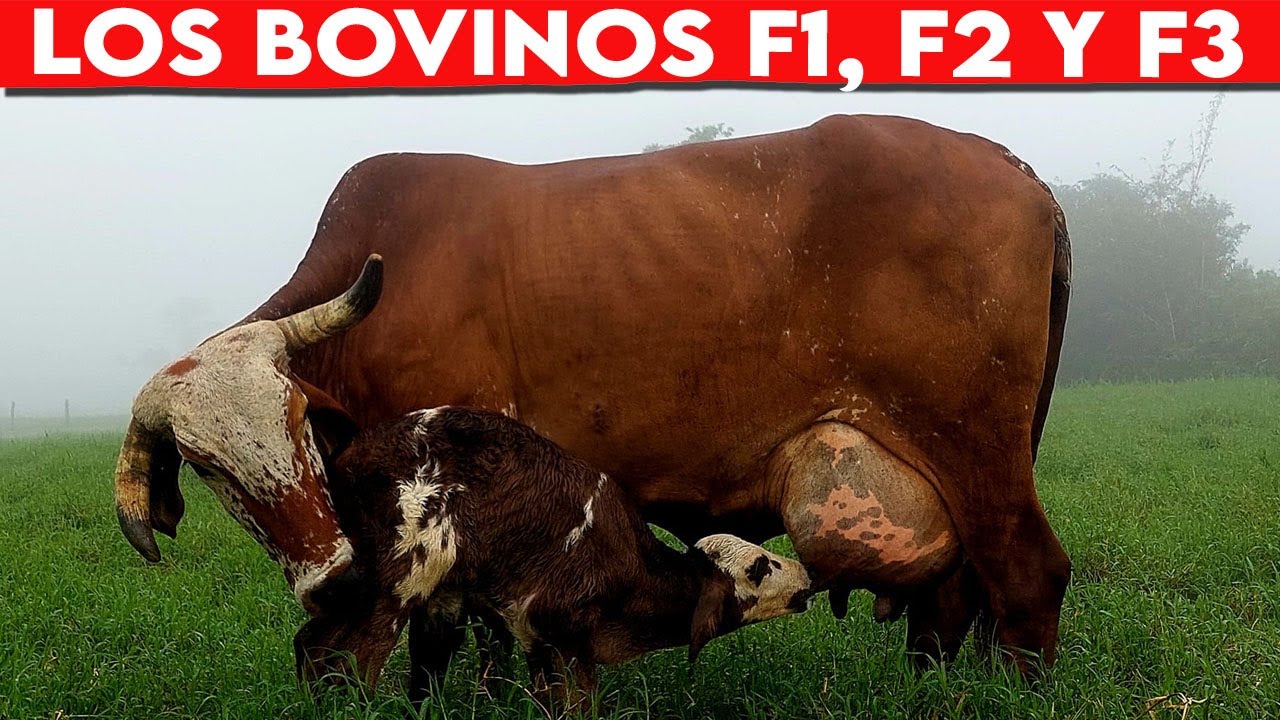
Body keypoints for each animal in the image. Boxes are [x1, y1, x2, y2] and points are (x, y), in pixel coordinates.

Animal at [114, 113, 1072, 674]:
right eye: (208, 468)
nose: (333, 581)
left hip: (974, 444)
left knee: (1027, 576)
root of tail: (1015, 168)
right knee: (955, 597)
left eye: (292, 422)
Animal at [294, 405, 814, 710]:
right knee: (353, 658)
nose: (806, 575)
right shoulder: (568, 634)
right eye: (761, 566)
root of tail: (349, 455)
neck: (635, 578)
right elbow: (580, 707)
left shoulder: (538, 641)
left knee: (311, 643)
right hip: (407, 572)